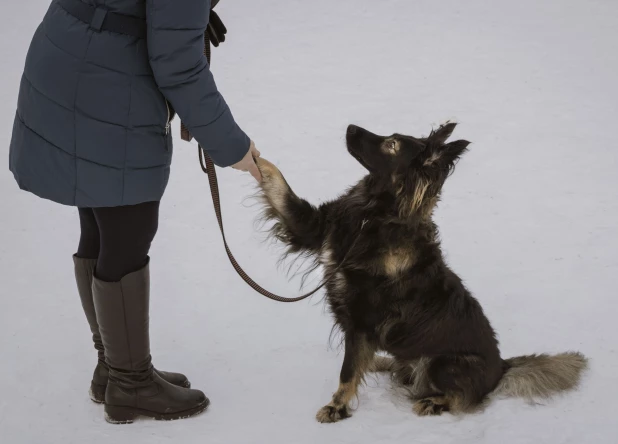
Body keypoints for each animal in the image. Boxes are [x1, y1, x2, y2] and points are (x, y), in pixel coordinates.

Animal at [255, 123, 588, 422]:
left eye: (391, 145)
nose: (349, 127)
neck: (373, 216)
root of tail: (501, 367)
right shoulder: (312, 226)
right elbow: (279, 186)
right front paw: (255, 156)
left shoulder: (361, 321)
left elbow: (348, 371)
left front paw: (337, 408)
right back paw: (380, 362)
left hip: (443, 363)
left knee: (463, 398)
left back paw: (432, 402)